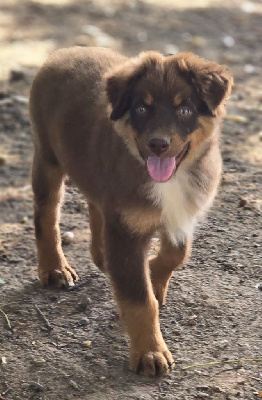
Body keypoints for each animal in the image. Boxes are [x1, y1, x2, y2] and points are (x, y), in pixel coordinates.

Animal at [29, 47, 232, 376]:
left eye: (184, 111)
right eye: (141, 109)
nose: (158, 144)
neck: (170, 180)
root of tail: (64, 51)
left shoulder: (180, 214)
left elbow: (177, 254)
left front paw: (153, 276)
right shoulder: (126, 230)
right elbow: (139, 300)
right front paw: (150, 352)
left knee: (95, 204)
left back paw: (101, 255)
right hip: (47, 157)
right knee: (45, 215)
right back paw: (54, 268)